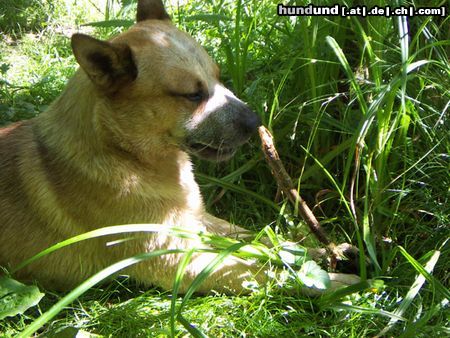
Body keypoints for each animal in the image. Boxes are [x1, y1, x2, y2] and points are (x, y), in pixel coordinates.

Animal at [0, 0, 268, 294]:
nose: (256, 121)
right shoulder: (173, 258)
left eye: (218, 77)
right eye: (193, 94)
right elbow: (262, 271)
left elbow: (261, 238)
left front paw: (293, 242)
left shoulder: (197, 219)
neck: (126, 156)